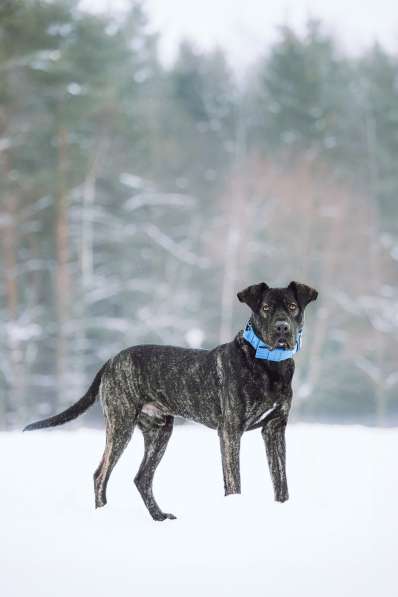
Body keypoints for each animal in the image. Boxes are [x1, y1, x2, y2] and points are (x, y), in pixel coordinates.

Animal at [24, 282, 318, 520]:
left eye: (292, 307)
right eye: (266, 308)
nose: (282, 327)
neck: (269, 364)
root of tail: (110, 361)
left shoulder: (275, 428)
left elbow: (281, 482)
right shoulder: (231, 431)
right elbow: (234, 482)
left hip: (160, 430)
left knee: (142, 478)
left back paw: (159, 517)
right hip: (121, 424)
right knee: (101, 474)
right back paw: (104, 514)